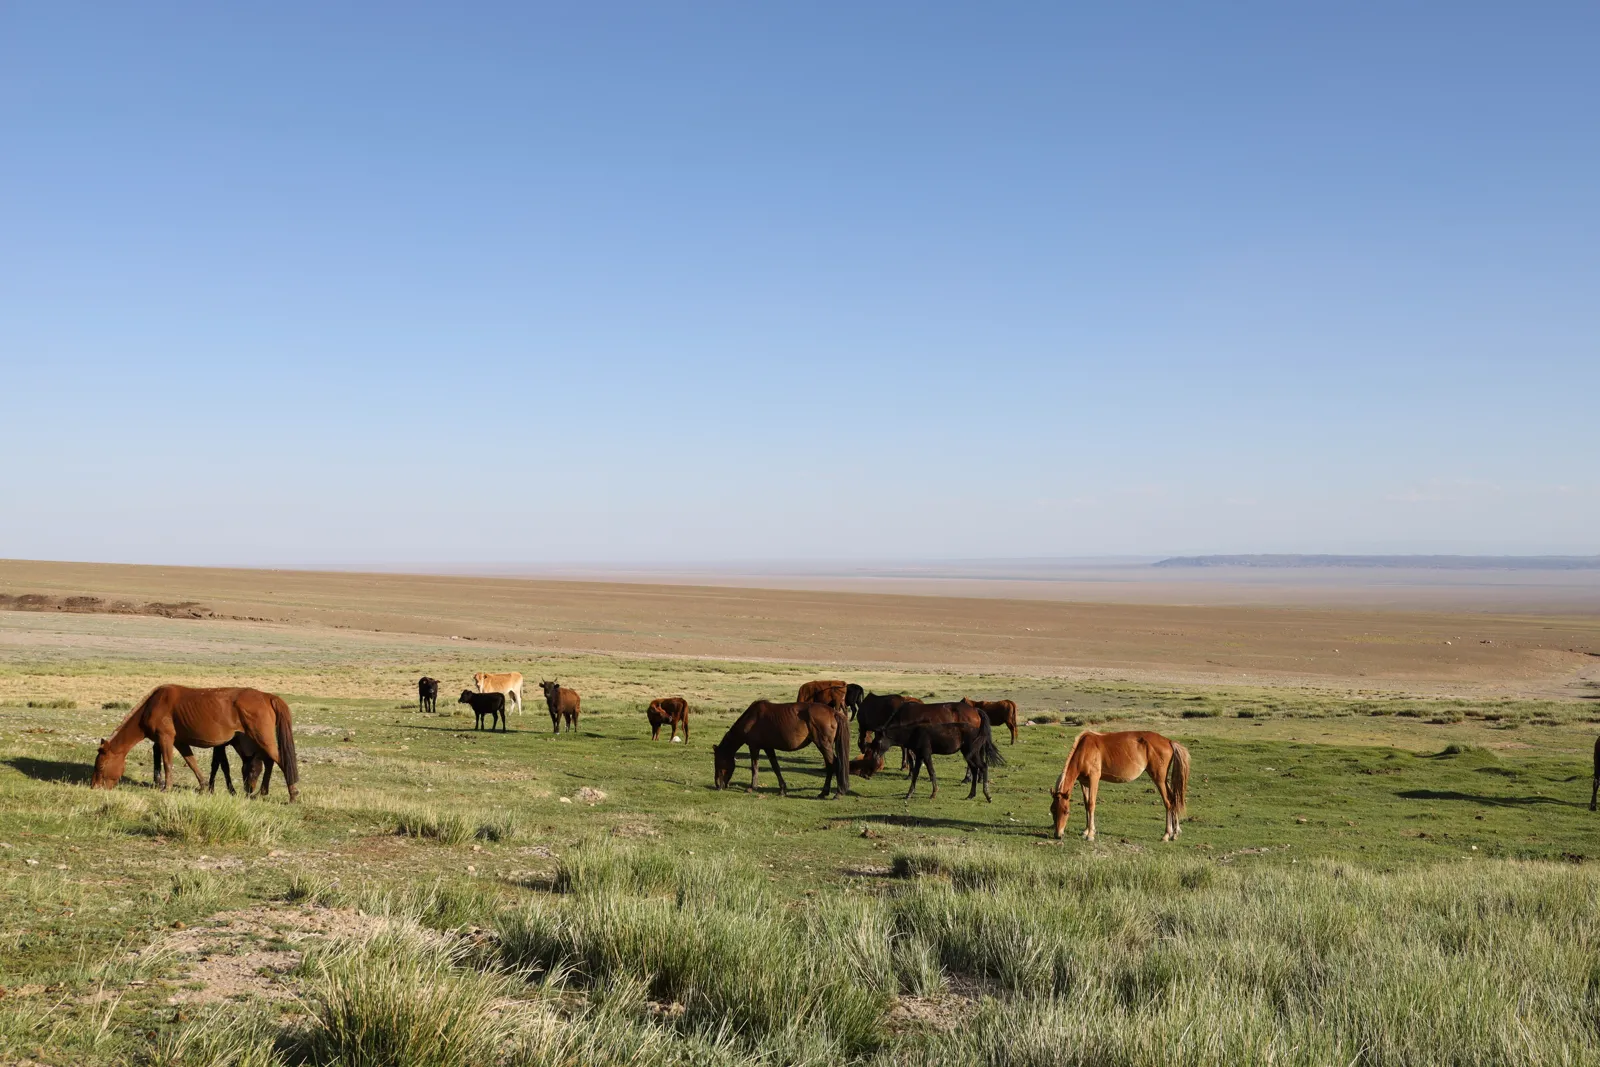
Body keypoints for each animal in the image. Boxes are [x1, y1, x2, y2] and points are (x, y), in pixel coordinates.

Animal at [94, 685, 300, 802]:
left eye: (101, 766)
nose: (94, 788)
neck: (152, 705)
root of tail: (268, 696)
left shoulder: (165, 738)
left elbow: (168, 763)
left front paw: (166, 787)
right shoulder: (180, 742)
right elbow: (192, 762)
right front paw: (204, 787)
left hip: (262, 738)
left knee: (281, 761)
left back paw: (292, 794)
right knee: (270, 761)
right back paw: (262, 793)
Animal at [713, 700, 850, 798]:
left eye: (718, 763)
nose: (718, 786)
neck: (751, 718)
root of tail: (834, 712)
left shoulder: (754, 747)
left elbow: (754, 767)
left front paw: (752, 787)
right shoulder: (768, 747)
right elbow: (776, 767)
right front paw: (782, 789)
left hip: (823, 744)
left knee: (833, 764)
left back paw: (836, 793)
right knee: (830, 765)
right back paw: (825, 793)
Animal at [858, 716, 1003, 801]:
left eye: (878, 741)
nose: (875, 756)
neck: (914, 733)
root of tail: (979, 732)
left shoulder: (926, 754)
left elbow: (931, 772)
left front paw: (934, 793)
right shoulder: (920, 756)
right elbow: (915, 774)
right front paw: (909, 794)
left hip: (970, 753)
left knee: (983, 767)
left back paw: (988, 796)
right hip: (969, 754)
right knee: (975, 769)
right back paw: (971, 795)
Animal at [1050, 730, 1189, 842]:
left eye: (1066, 811)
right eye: (1052, 810)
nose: (1058, 835)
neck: (1085, 749)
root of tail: (1169, 741)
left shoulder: (1094, 779)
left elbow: (1091, 804)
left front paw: (1090, 835)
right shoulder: (1084, 782)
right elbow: (1086, 804)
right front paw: (1086, 831)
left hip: (1159, 779)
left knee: (1168, 802)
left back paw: (1166, 835)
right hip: (1163, 780)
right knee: (1174, 798)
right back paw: (1175, 833)